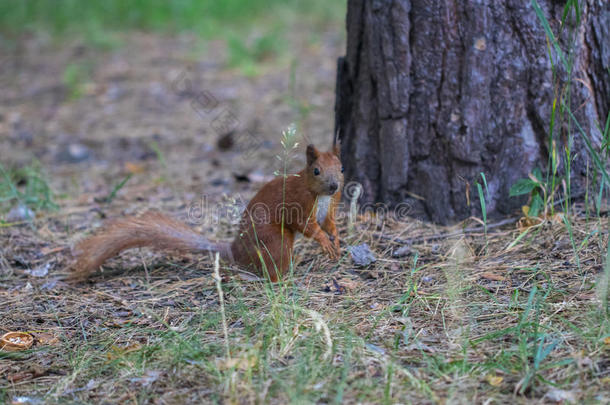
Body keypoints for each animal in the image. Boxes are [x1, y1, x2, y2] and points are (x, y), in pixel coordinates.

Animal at [71, 144, 342, 280]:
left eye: (341, 167)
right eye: (316, 170)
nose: (334, 186)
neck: (321, 195)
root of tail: (235, 250)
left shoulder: (329, 208)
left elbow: (328, 224)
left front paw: (336, 241)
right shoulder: (298, 202)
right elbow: (306, 226)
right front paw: (324, 242)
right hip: (275, 240)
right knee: (271, 263)